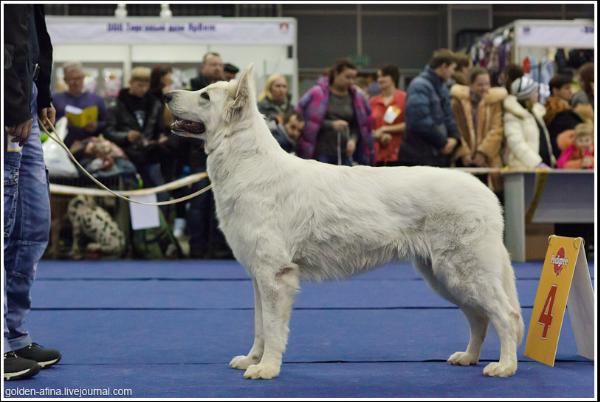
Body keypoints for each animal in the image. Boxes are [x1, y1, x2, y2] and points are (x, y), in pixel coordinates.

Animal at [165, 66, 524, 380]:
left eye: (205, 96)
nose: (166, 94)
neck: (248, 164)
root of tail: (487, 194)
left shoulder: (275, 276)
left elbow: (272, 328)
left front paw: (266, 369)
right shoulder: (259, 277)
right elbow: (259, 326)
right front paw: (253, 359)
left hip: (464, 273)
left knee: (505, 315)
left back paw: (505, 367)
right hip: (444, 277)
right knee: (480, 318)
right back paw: (469, 357)